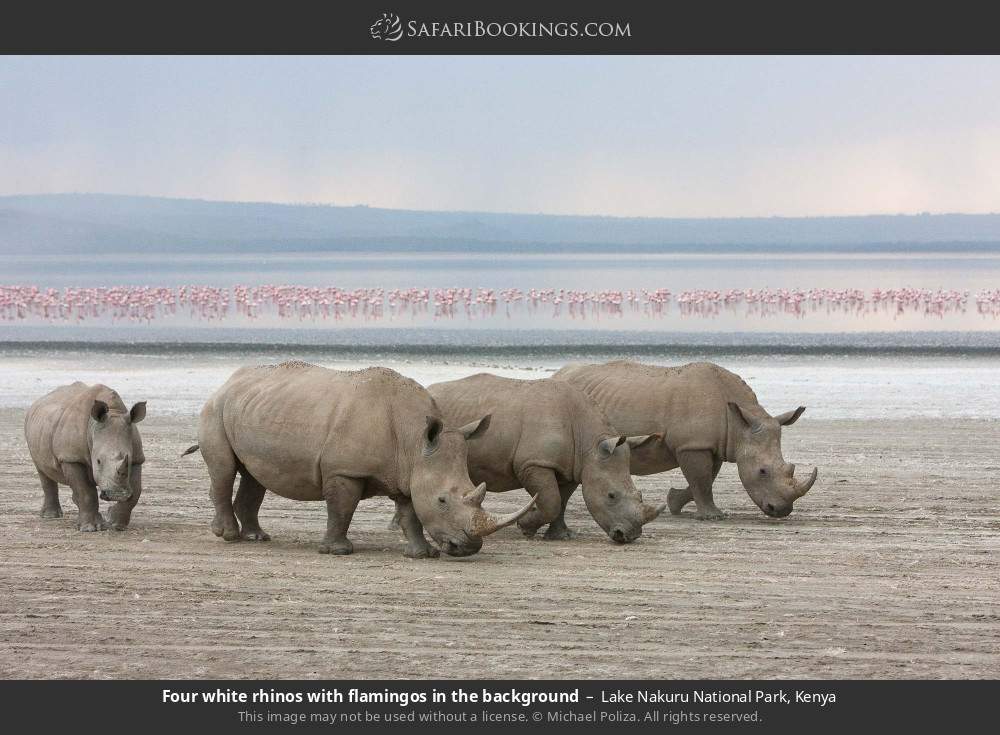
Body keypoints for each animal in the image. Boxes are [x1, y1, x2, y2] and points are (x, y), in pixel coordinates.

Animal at [24, 382, 146, 531]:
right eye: (98, 461)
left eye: (128, 458)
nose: (117, 494)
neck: (113, 412)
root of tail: (36, 403)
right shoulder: (71, 457)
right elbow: (85, 492)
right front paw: (90, 528)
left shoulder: (137, 458)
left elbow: (136, 491)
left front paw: (115, 524)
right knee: (43, 471)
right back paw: (50, 516)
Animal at [183, 362, 535, 558]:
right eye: (442, 500)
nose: (469, 549)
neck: (413, 440)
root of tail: (228, 381)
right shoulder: (344, 470)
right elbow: (342, 509)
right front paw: (338, 551)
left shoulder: (408, 470)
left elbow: (410, 513)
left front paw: (422, 555)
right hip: (215, 409)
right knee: (224, 470)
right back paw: (229, 537)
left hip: (252, 406)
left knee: (254, 476)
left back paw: (257, 537)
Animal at [418, 374, 666, 543]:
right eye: (611, 496)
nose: (629, 536)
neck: (590, 443)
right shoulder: (534, 463)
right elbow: (551, 500)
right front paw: (525, 527)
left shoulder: (571, 467)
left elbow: (561, 501)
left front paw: (561, 536)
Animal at [553, 361, 817, 519]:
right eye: (763, 471)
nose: (781, 510)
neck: (739, 423)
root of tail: (559, 373)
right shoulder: (693, 445)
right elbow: (701, 480)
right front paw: (713, 517)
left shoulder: (713, 444)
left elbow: (705, 478)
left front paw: (675, 503)